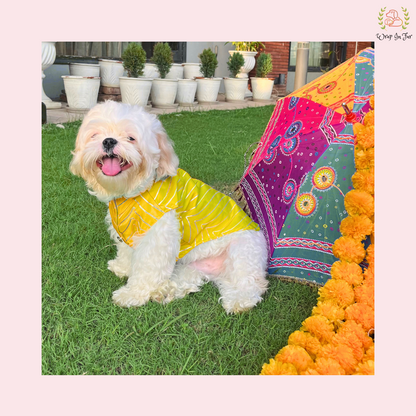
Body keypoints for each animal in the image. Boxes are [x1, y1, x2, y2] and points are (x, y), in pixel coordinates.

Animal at [70, 102, 268, 314]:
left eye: (131, 138)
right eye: (95, 135)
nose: (108, 141)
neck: (135, 190)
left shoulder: (158, 237)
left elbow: (147, 268)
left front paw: (132, 294)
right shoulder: (128, 230)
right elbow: (127, 253)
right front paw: (122, 267)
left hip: (242, 253)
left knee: (250, 283)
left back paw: (239, 301)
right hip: (192, 266)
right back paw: (164, 291)